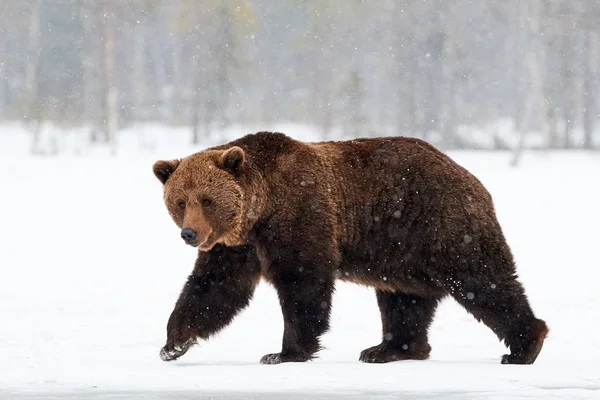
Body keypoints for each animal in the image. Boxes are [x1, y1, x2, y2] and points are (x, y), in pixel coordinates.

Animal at [151, 132, 548, 366]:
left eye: (206, 199)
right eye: (180, 201)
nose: (189, 233)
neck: (259, 211)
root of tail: (471, 177)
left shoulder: (301, 215)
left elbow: (302, 283)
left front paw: (283, 352)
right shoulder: (237, 247)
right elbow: (213, 288)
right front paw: (173, 343)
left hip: (439, 224)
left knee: (482, 280)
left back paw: (524, 346)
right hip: (401, 250)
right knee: (404, 299)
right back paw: (387, 349)